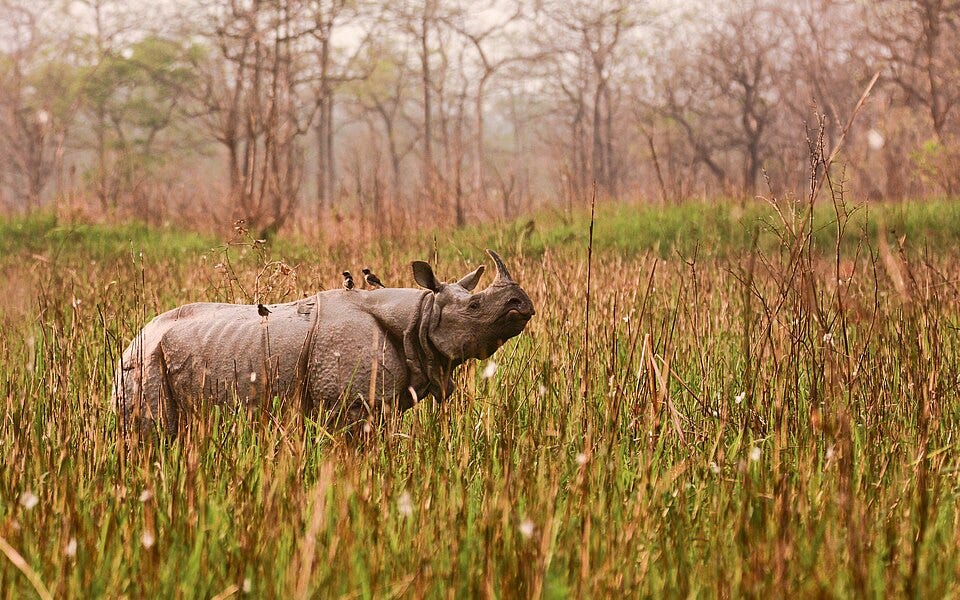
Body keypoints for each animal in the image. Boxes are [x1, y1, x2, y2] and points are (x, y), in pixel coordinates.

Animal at [113, 249, 534, 435]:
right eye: (475, 306)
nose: (523, 305)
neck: (420, 316)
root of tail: (133, 339)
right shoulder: (350, 404)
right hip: (144, 363)